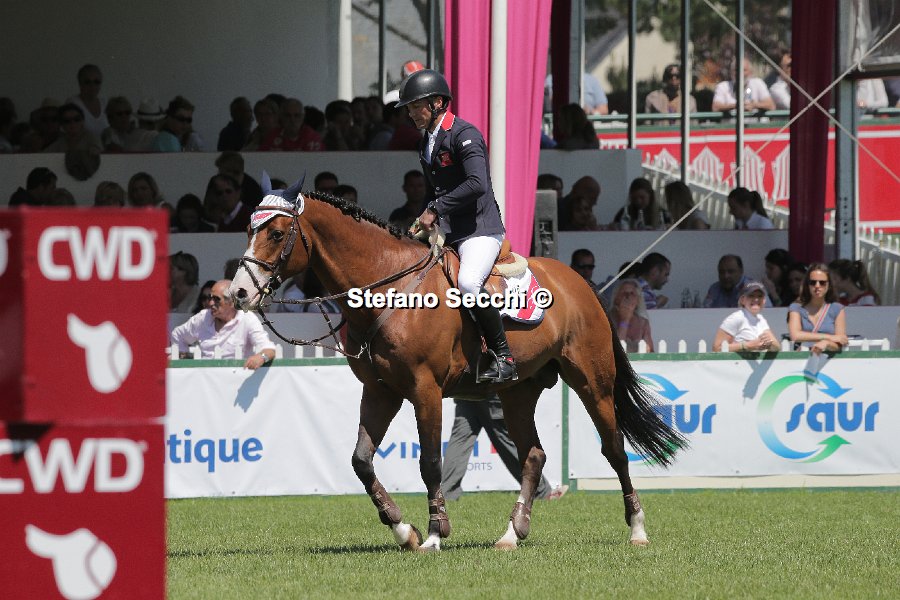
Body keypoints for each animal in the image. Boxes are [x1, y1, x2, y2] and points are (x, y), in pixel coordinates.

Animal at [230, 175, 687, 551]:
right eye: (249, 230)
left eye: (275, 232)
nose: (239, 293)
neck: (390, 286)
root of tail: (579, 282)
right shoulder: (380, 391)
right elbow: (361, 460)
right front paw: (404, 530)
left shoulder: (425, 390)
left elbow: (430, 461)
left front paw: (435, 533)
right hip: (518, 391)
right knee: (533, 456)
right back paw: (512, 533)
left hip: (593, 382)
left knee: (615, 450)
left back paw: (637, 529)